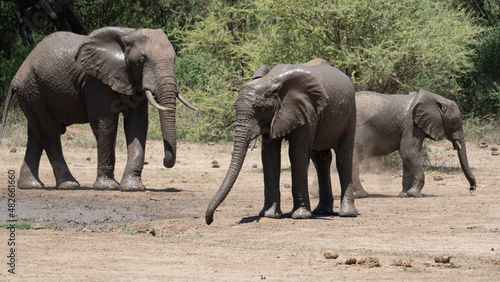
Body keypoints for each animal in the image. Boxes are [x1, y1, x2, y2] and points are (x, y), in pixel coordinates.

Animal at [0, 27, 198, 192]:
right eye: (141, 61)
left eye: (173, 59)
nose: (164, 161)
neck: (129, 34)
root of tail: (16, 75)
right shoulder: (95, 81)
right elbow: (106, 124)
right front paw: (108, 187)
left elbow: (138, 124)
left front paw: (133, 188)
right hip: (33, 89)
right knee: (50, 132)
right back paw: (70, 185)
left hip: (34, 94)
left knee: (36, 133)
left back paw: (31, 186)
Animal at [205, 57, 358, 225]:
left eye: (260, 109)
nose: (210, 220)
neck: (272, 80)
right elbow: (269, 155)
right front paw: (269, 215)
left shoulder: (307, 111)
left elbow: (297, 153)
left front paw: (300, 216)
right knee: (321, 160)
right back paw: (322, 211)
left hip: (350, 113)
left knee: (343, 157)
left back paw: (347, 214)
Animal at [348, 90, 476, 198]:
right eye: (455, 121)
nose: (471, 189)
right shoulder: (411, 125)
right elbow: (409, 152)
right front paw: (415, 195)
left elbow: (407, 157)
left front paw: (404, 195)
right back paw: (361, 195)